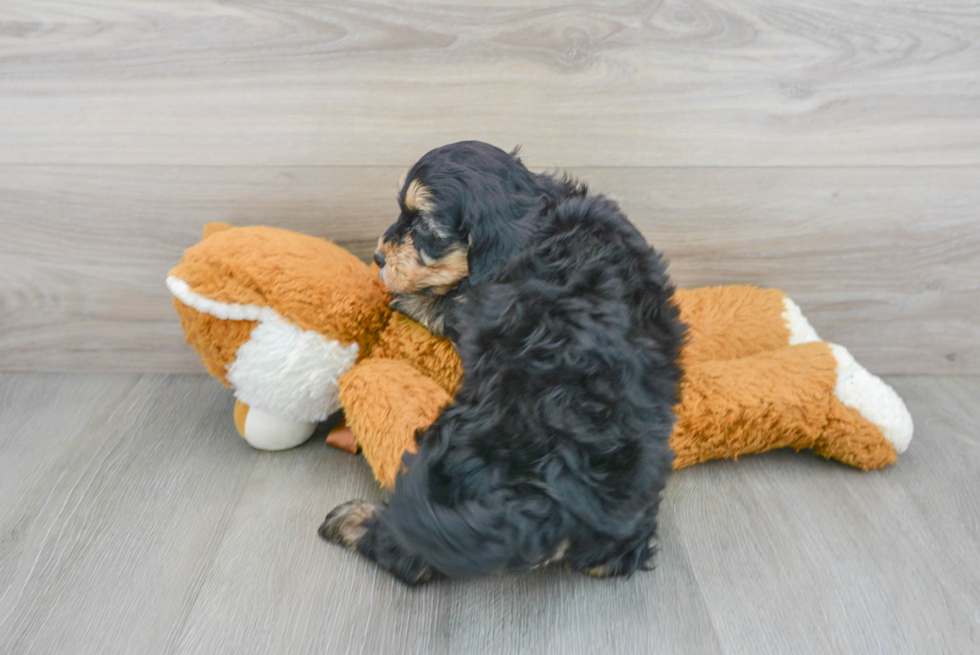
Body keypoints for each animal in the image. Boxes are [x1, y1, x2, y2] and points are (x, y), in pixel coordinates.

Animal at [320, 140, 680, 584]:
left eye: (423, 227)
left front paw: (406, 296)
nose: (378, 257)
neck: (539, 216)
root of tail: (559, 492)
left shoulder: (472, 306)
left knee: (413, 555)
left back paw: (354, 522)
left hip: (450, 446)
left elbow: (441, 302)